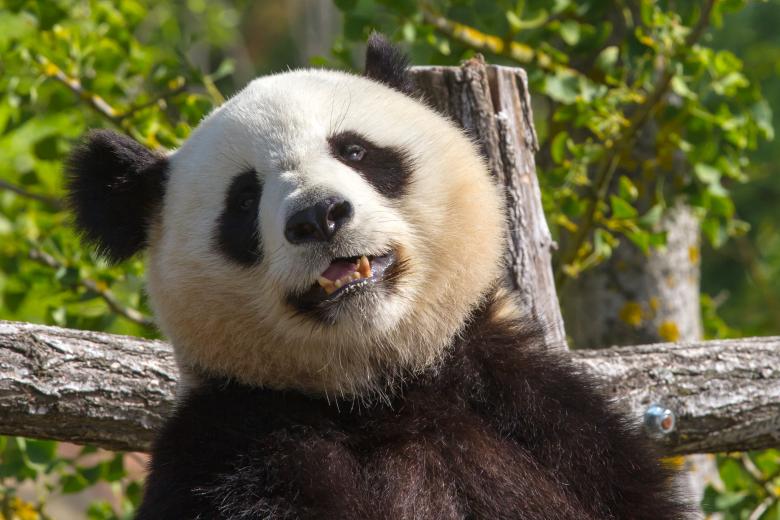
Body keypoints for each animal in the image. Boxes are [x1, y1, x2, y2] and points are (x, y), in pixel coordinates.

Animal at [67, 35, 690, 519]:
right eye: (243, 200)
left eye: (355, 151)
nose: (318, 216)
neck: (378, 391)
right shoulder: (231, 449)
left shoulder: (545, 420)